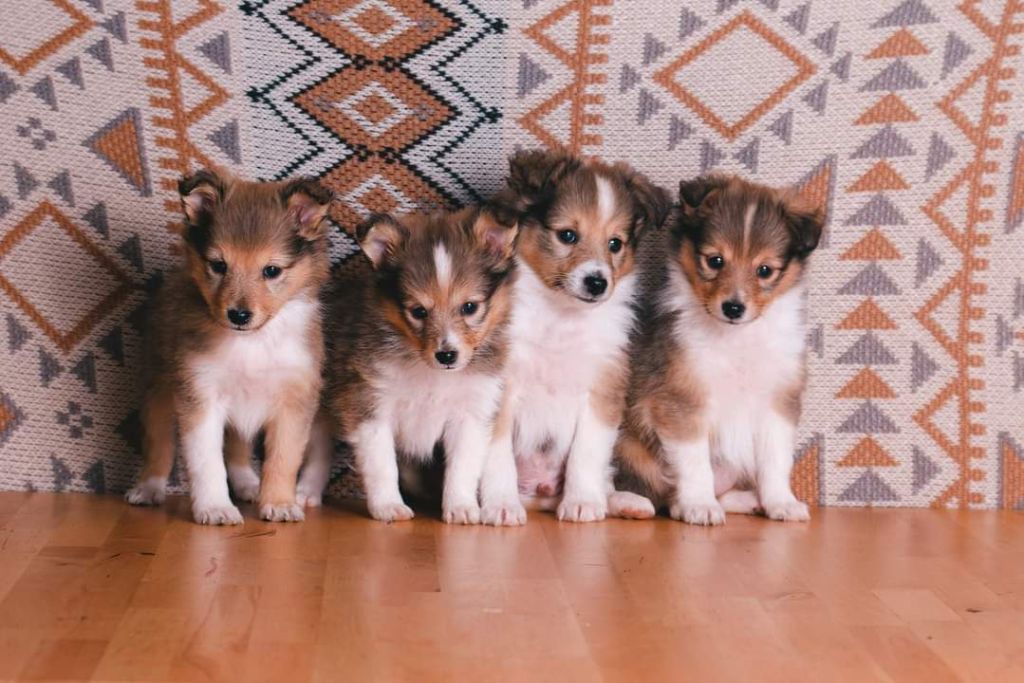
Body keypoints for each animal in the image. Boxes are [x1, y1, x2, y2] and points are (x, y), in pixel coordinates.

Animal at [123, 169, 331, 524]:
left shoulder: (294, 401)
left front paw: (279, 503)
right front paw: (215, 508)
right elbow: (207, 462)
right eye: (219, 265)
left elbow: (283, 458)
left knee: (237, 447)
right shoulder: (200, 394)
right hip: (158, 392)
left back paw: (249, 484)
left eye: (271, 270)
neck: (253, 342)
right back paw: (148, 488)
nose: (239, 315)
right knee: (160, 446)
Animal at [309, 208, 520, 524]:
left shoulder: (470, 415)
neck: (429, 372)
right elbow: (382, 464)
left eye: (470, 307)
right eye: (418, 311)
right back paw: (304, 496)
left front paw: (461, 508)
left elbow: (462, 467)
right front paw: (388, 507)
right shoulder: (369, 405)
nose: (447, 355)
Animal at [479, 150, 671, 524]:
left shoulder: (602, 391)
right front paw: (500, 506)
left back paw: (626, 502)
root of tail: (539, 493)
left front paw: (583, 503)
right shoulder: (501, 389)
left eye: (615, 243)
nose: (597, 283)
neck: (562, 317)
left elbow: (587, 452)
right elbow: (497, 454)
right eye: (567, 235)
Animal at [614, 175, 823, 524]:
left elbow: (776, 461)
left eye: (765, 270)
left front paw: (782, 502)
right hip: (627, 441)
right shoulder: (682, 401)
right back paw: (631, 503)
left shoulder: (778, 401)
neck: (736, 339)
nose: (733, 308)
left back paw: (748, 500)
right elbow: (695, 463)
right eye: (715, 260)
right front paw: (700, 505)